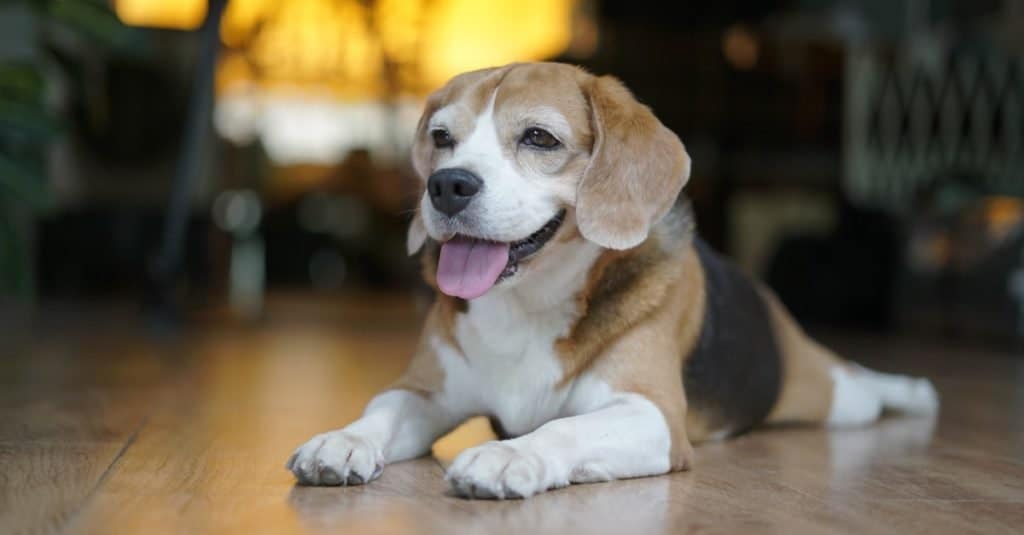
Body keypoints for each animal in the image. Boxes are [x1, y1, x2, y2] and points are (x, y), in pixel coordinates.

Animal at [284, 64, 937, 498]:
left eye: (539, 138)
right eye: (442, 138)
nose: (446, 185)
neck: (528, 301)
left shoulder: (651, 417)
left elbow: (564, 429)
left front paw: (507, 455)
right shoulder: (426, 391)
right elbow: (381, 410)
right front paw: (343, 439)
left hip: (833, 397)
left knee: (862, 382)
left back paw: (913, 392)